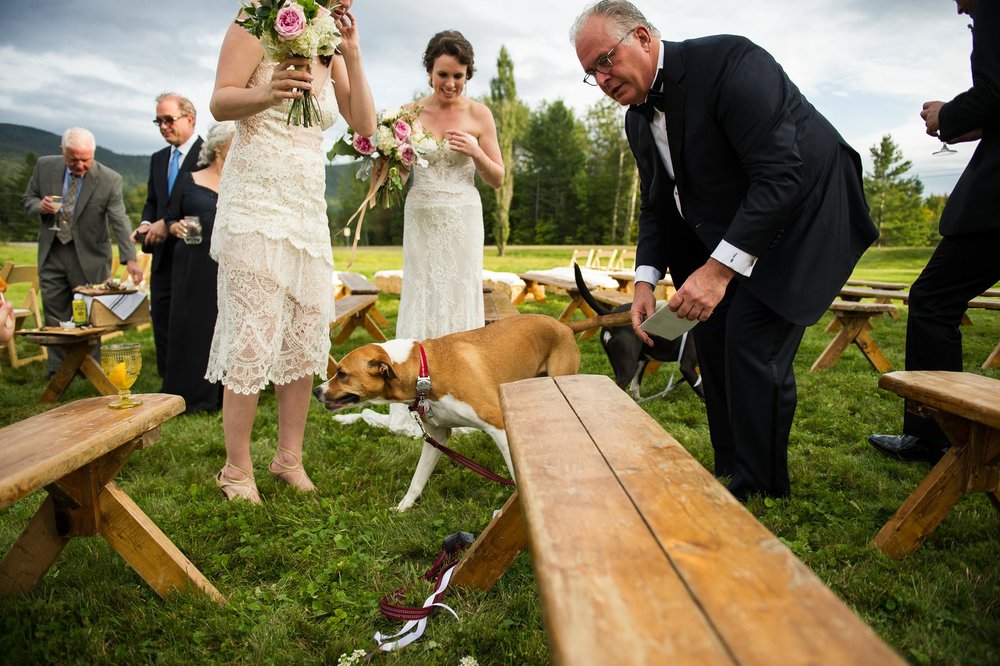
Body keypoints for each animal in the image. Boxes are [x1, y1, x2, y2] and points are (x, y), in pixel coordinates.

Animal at [312, 314, 580, 510]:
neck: (425, 372)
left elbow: (516, 473)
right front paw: (403, 507)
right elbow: (417, 479)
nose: (316, 390)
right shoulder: (437, 436)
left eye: (342, 373)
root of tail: (564, 326)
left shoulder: (499, 426)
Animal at [572, 264, 704, 400]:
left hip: (638, 361)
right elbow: (702, 393)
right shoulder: (687, 366)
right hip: (628, 366)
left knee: (633, 387)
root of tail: (611, 314)